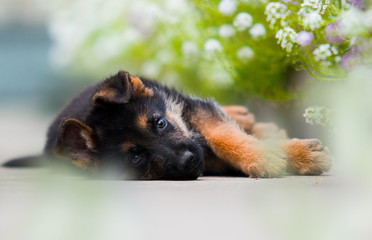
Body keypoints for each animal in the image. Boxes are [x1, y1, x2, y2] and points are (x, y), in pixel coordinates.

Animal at [3, 70, 332, 179]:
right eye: (136, 157)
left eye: (159, 123)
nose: (188, 161)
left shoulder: (194, 115)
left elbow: (225, 135)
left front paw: (290, 155)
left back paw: (244, 116)